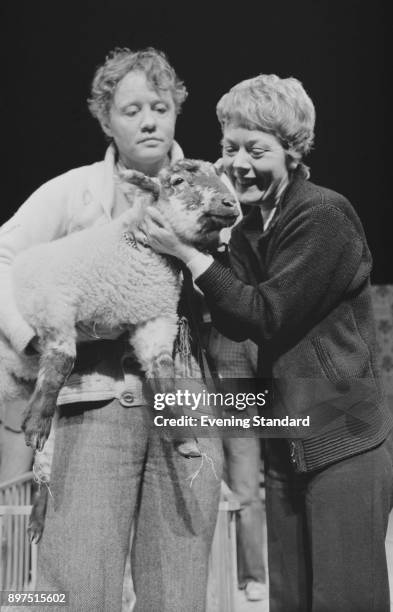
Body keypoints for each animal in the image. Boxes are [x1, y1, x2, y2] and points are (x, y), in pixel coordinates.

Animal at [0, 158, 236, 464]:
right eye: (178, 181)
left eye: (218, 174)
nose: (231, 203)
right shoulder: (55, 303)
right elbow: (62, 361)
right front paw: (39, 424)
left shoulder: (155, 319)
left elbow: (164, 374)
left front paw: (184, 439)